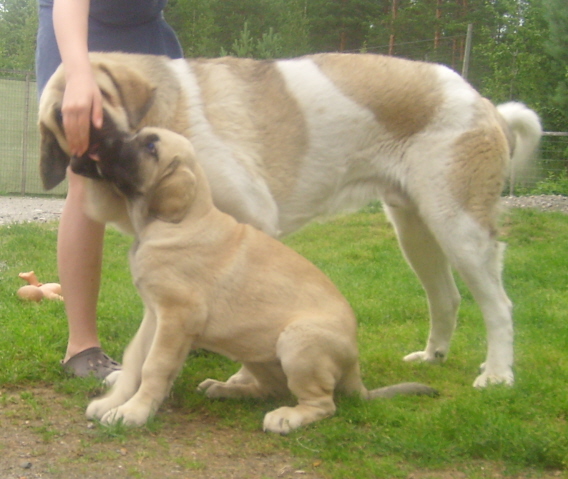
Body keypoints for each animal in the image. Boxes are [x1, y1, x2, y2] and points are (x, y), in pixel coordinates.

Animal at [37, 51, 544, 386]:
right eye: (64, 126)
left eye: (94, 110)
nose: (88, 153)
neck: (169, 114)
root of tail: (486, 103)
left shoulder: (252, 221)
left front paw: (243, 378)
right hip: (415, 230)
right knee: (447, 297)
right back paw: (433, 356)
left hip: (458, 225)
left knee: (499, 306)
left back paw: (498, 374)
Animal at [77, 125, 438, 434]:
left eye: (151, 147)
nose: (101, 136)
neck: (179, 221)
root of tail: (355, 370)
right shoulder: (154, 314)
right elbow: (134, 359)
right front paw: (113, 403)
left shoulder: (176, 317)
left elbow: (153, 366)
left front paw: (132, 413)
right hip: (254, 352)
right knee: (271, 389)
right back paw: (225, 389)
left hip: (298, 341)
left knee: (322, 403)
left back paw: (286, 418)